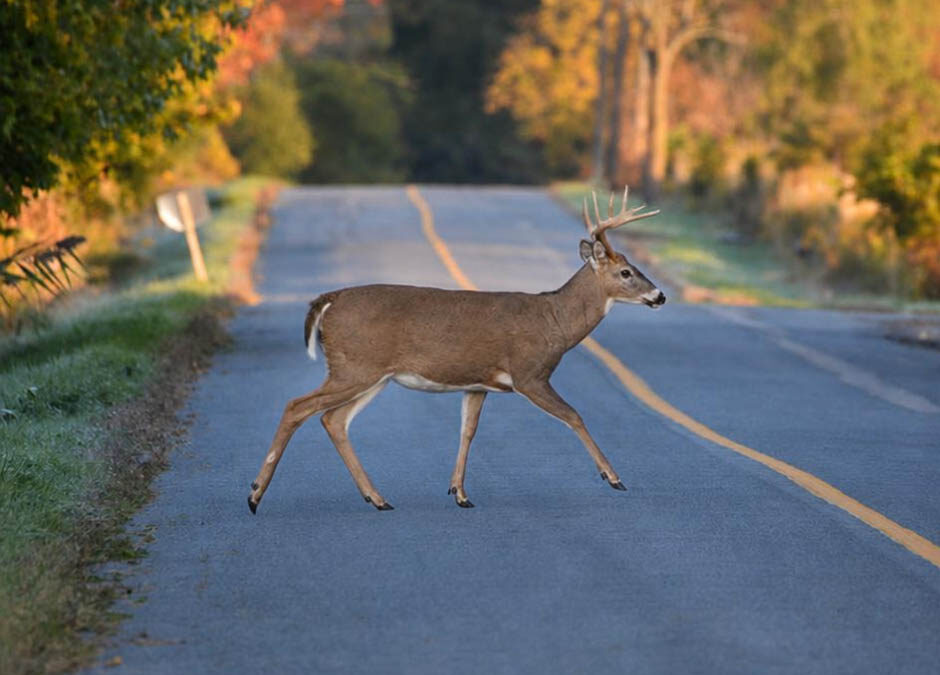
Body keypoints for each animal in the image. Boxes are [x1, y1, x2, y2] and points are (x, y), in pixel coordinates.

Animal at [248, 187, 665, 513]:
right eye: (626, 272)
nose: (660, 295)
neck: (555, 322)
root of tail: (329, 299)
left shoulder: (478, 383)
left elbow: (468, 431)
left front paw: (460, 493)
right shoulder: (529, 374)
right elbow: (574, 416)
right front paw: (613, 477)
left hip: (370, 374)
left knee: (333, 420)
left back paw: (377, 498)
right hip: (355, 367)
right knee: (298, 406)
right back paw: (255, 495)